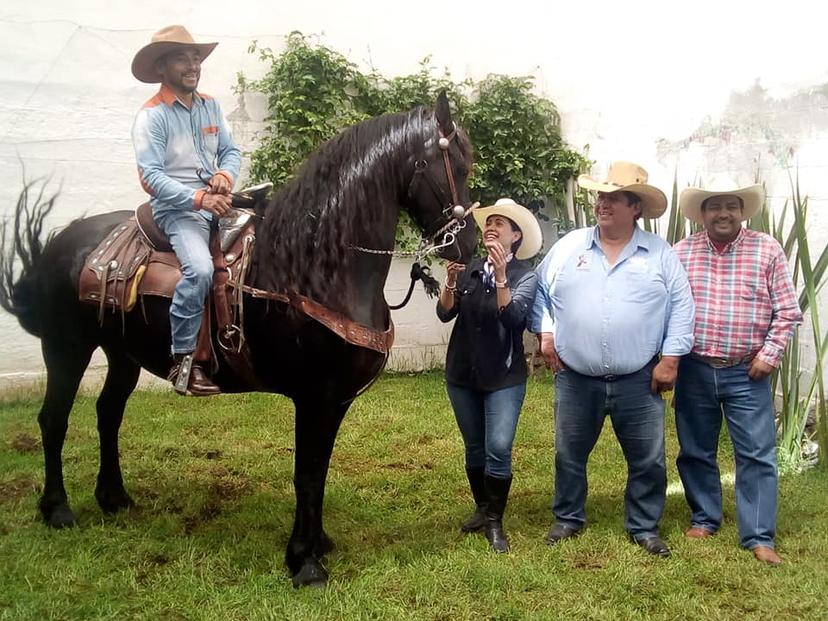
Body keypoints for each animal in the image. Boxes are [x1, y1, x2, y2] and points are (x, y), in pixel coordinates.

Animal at [0, 93, 476, 588]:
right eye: (458, 166)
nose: (470, 247)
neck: (311, 269)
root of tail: (63, 241)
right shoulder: (314, 397)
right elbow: (307, 473)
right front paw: (304, 562)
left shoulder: (334, 401)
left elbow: (320, 469)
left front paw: (319, 543)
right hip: (66, 348)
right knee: (53, 421)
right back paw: (57, 510)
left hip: (122, 355)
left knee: (108, 414)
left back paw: (114, 497)